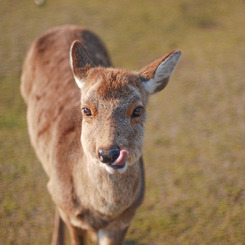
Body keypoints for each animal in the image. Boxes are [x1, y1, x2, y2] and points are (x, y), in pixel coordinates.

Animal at [21, 25, 181, 245]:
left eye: (138, 109)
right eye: (86, 110)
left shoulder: (125, 219)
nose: (109, 153)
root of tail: (62, 27)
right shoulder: (74, 219)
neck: (103, 212)